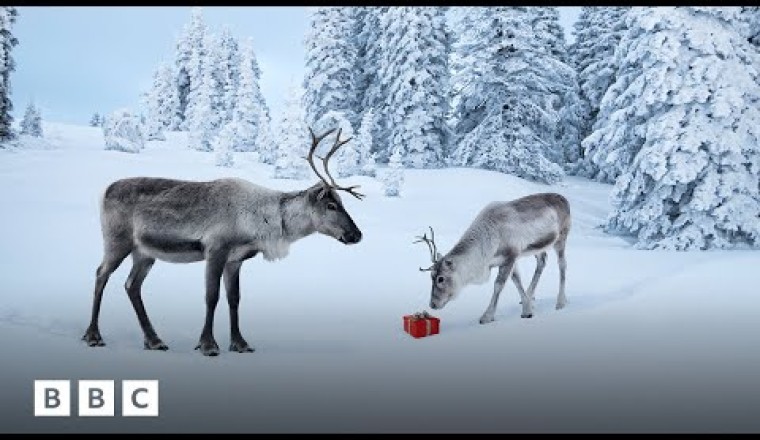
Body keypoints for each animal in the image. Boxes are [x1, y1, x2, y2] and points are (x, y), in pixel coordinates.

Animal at [82, 127, 364, 356]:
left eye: (343, 202)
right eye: (331, 205)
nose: (357, 235)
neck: (264, 223)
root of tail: (104, 190)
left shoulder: (235, 260)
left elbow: (234, 298)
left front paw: (240, 343)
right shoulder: (215, 249)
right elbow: (211, 296)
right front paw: (208, 344)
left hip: (144, 252)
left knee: (132, 285)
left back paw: (154, 340)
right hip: (117, 241)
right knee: (100, 274)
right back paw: (93, 335)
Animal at [415, 193, 570, 324]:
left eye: (441, 278)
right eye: (431, 276)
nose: (432, 304)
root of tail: (564, 199)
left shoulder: (511, 255)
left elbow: (498, 285)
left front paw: (487, 316)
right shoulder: (508, 259)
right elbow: (517, 280)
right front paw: (527, 308)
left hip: (561, 237)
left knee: (562, 264)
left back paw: (561, 302)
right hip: (538, 247)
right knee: (542, 261)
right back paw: (530, 295)